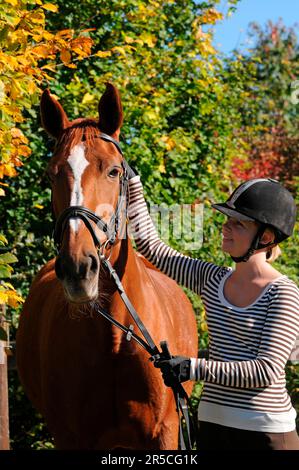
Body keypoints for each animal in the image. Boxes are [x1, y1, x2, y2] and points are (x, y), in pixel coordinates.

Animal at [17, 82, 199, 450]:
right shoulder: (72, 438)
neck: (116, 338)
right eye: (51, 174)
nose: (77, 268)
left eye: (114, 171)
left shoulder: (165, 433)